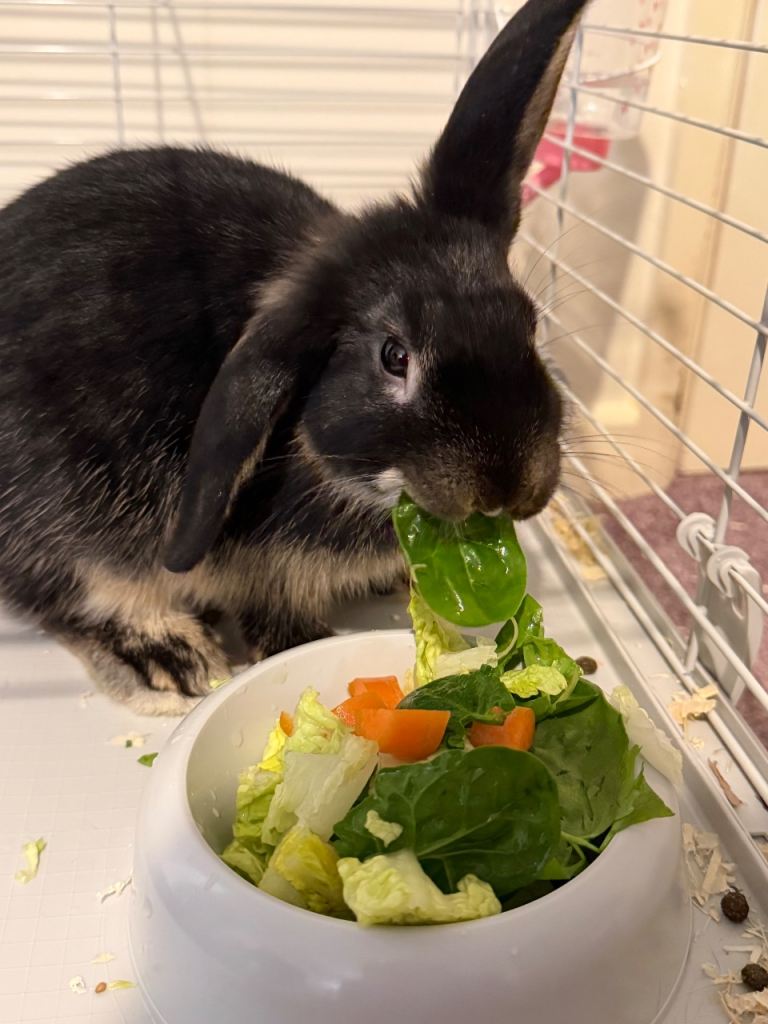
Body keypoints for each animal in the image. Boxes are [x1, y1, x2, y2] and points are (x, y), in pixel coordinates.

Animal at [0, 0, 590, 715]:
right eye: (394, 356)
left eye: (529, 325)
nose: (507, 488)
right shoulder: (263, 568)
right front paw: (295, 645)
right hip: (64, 507)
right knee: (64, 592)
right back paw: (167, 659)